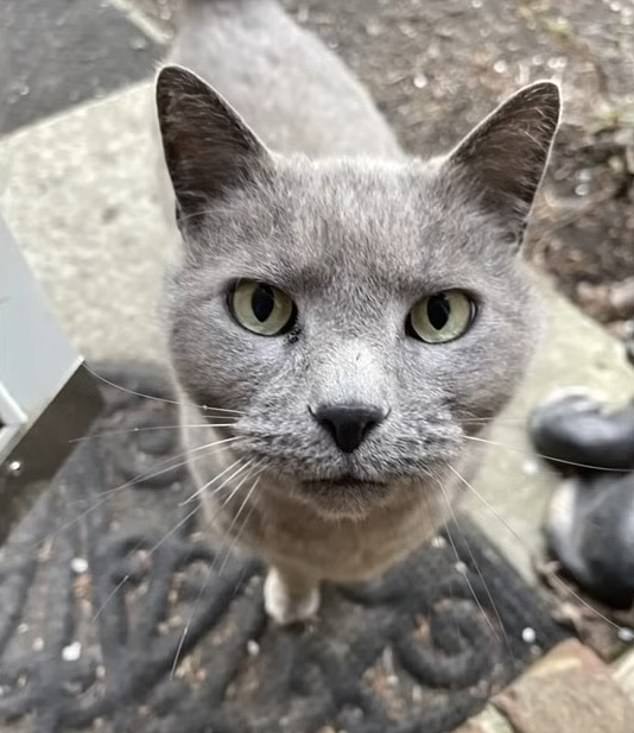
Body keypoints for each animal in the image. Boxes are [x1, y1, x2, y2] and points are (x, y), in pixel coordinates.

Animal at [154, 0, 556, 624]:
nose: (349, 415)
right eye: (260, 307)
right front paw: (293, 603)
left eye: (441, 314)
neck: (342, 539)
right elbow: (291, 566)